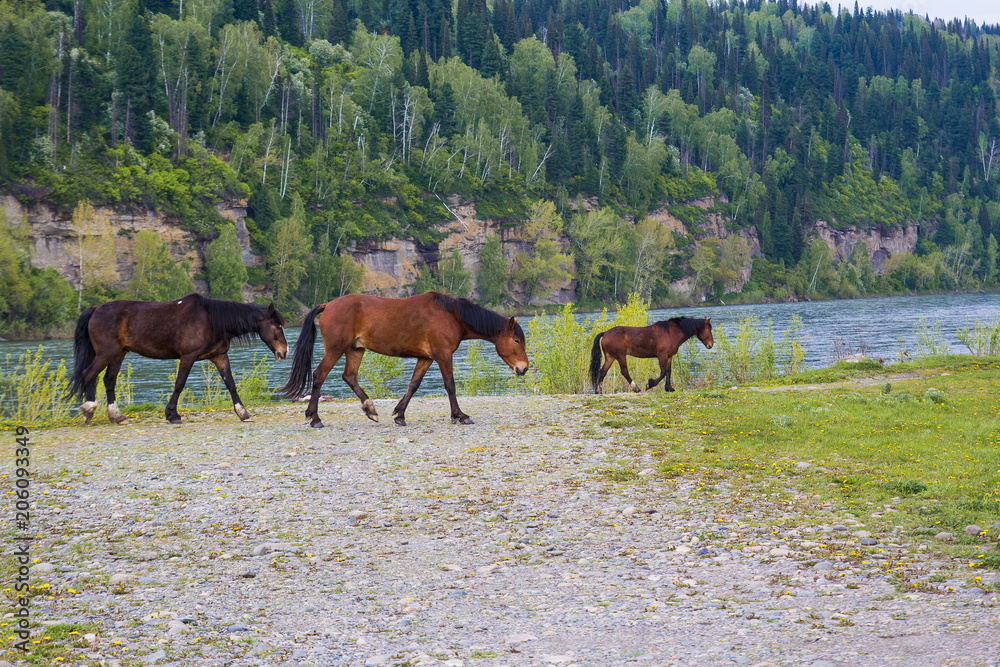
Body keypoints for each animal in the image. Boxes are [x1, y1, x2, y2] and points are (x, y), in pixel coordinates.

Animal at [69, 294, 288, 424]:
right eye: (277, 326)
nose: (284, 352)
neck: (211, 319)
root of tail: (96, 309)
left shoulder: (219, 356)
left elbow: (231, 385)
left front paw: (243, 413)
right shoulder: (188, 357)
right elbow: (179, 384)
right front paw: (172, 414)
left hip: (118, 354)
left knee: (109, 381)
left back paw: (117, 416)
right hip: (106, 353)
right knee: (88, 374)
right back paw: (89, 410)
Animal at [280, 291, 529, 428]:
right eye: (517, 340)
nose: (524, 368)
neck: (452, 315)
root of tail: (328, 305)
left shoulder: (425, 358)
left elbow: (413, 385)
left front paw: (399, 414)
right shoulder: (443, 355)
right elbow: (450, 386)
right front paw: (460, 415)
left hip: (355, 350)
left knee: (349, 376)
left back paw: (370, 409)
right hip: (335, 349)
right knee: (319, 376)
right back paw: (315, 418)